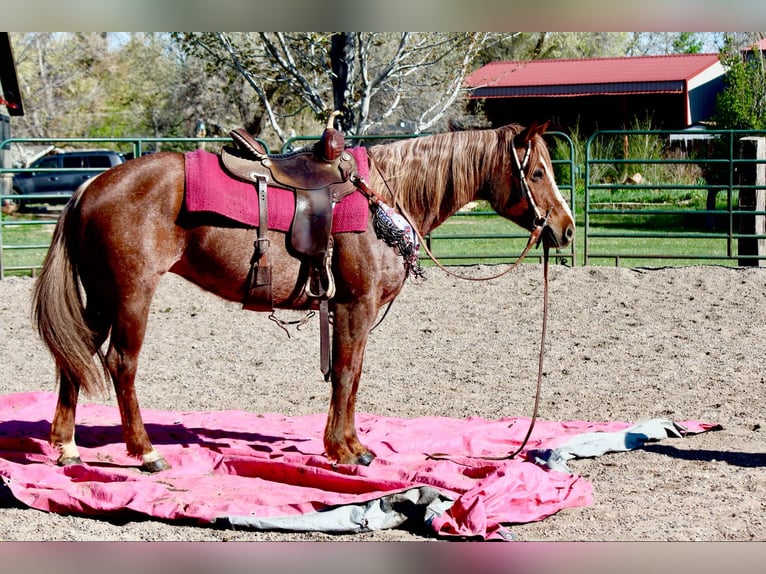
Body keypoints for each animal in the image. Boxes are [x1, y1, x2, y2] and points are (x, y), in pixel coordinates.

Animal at [32, 122, 575, 471]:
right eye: (538, 173)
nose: (566, 230)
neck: (385, 199)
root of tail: (88, 188)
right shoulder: (356, 305)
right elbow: (348, 374)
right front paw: (345, 450)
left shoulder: (349, 310)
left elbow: (351, 376)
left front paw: (353, 444)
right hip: (131, 295)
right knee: (121, 364)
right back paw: (146, 452)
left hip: (100, 296)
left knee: (75, 357)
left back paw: (67, 447)